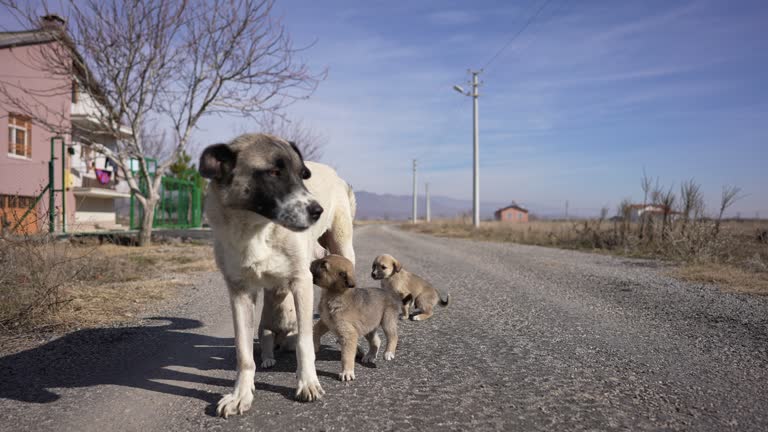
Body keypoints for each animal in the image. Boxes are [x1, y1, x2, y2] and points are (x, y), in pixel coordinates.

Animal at [196, 134, 356, 418]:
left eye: (302, 175)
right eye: (273, 172)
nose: (317, 211)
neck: (255, 230)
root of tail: (335, 174)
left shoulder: (302, 282)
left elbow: (304, 342)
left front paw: (307, 383)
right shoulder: (239, 292)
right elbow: (244, 352)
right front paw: (241, 395)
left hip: (343, 246)